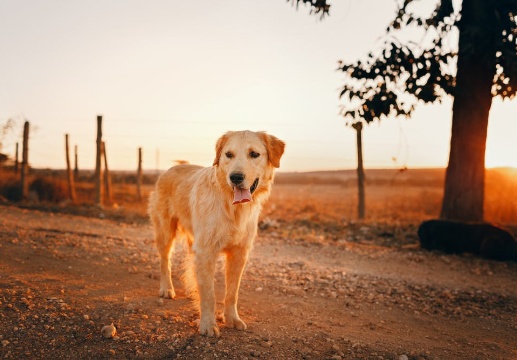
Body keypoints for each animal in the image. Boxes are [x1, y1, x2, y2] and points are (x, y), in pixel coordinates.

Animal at [147, 131, 284, 336]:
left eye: (254, 154)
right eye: (228, 155)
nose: (236, 177)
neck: (232, 208)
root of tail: (172, 168)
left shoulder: (239, 254)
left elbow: (232, 293)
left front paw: (232, 319)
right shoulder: (206, 251)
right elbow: (209, 294)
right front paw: (208, 324)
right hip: (165, 231)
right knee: (165, 261)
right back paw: (167, 289)